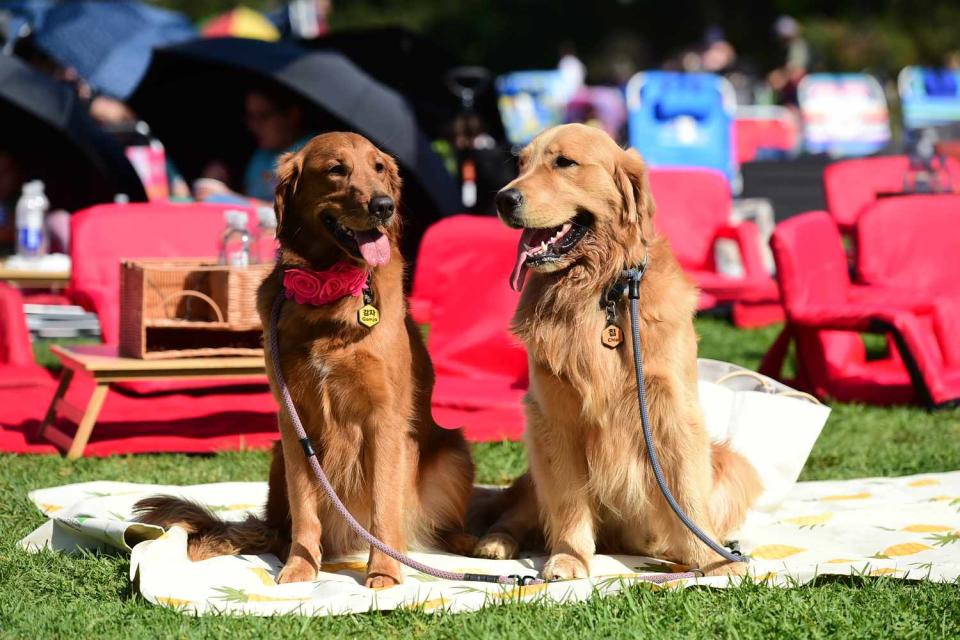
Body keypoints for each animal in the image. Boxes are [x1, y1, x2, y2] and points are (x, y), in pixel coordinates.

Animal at [136, 132, 476, 588]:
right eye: (336, 169)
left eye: (379, 167)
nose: (384, 205)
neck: (330, 293)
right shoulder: (294, 421)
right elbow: (305, 508)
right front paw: (301, 567)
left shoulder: (385, 419)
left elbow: (384, 505)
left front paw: (385, 572)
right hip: (278, 458)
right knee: (283, 527)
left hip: (454, 453)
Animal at [474, 125, 764, 580]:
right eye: (520, 164)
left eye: (565, 163)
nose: (504, 198)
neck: (599, 289)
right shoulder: (553, 417)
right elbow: (569, 502)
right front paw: (569, 557)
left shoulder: (673, 408)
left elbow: (686, 494)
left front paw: (712, 558)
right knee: (515, 512)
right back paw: (496, 542)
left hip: (733, 464)